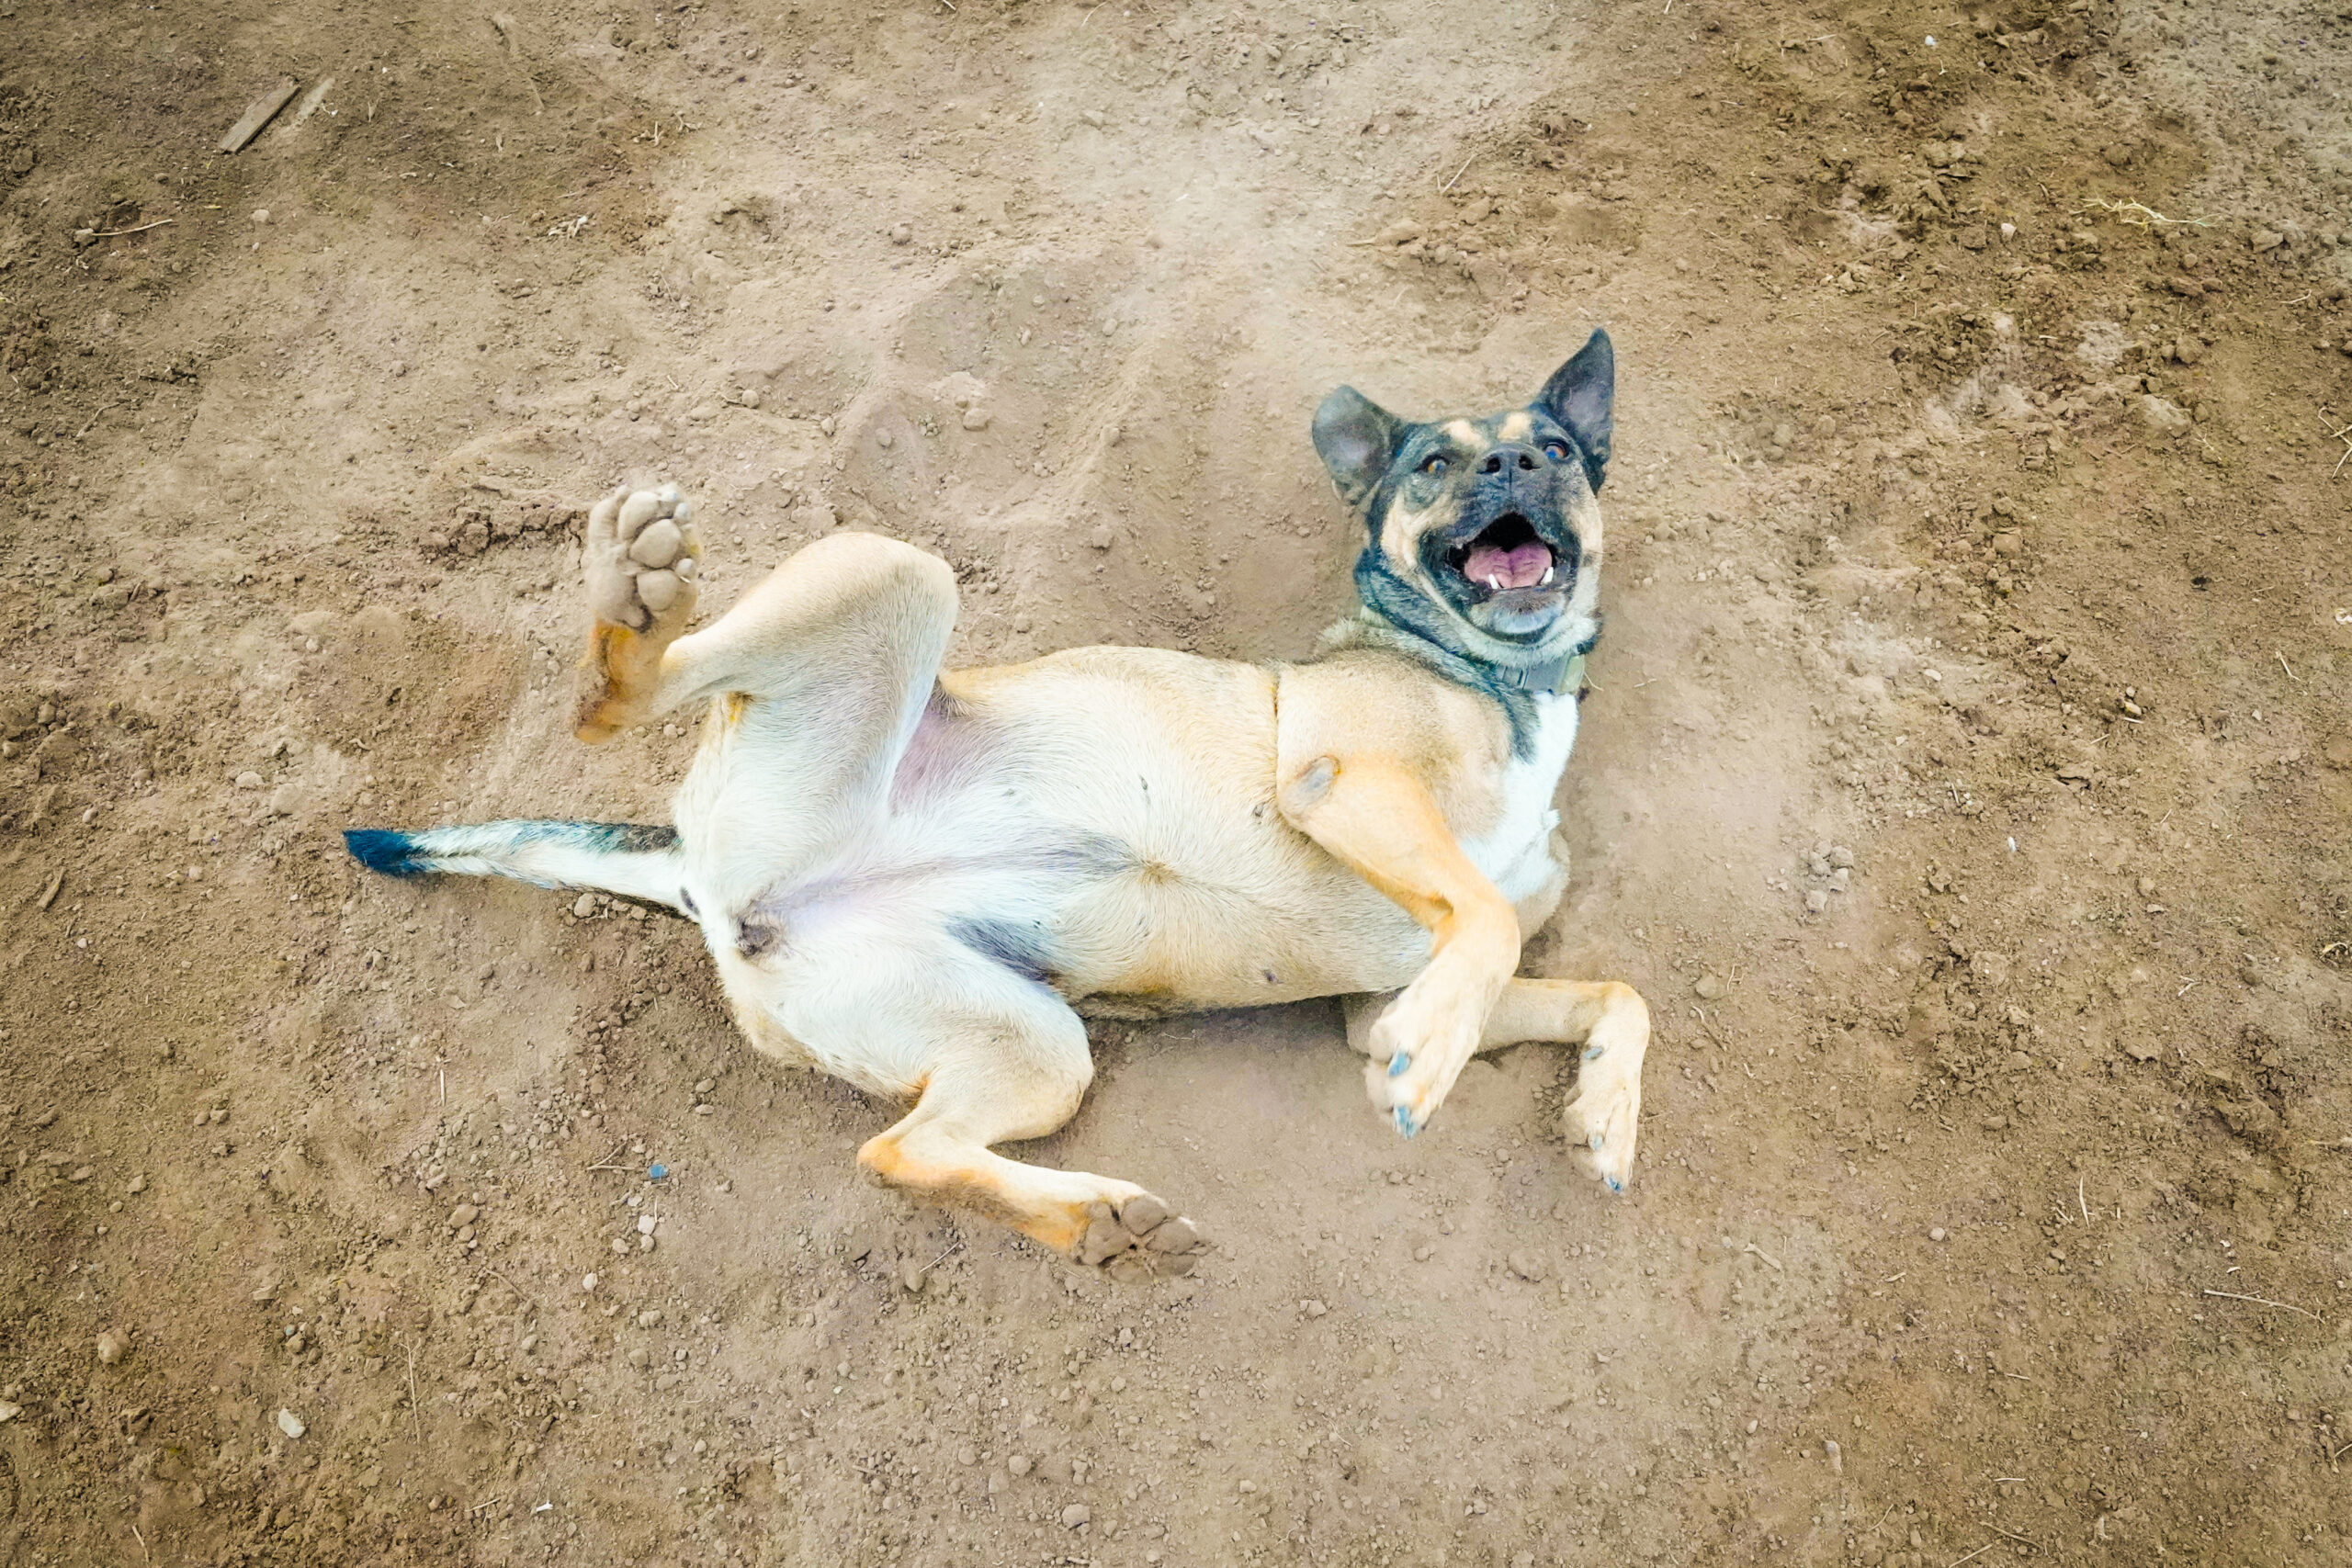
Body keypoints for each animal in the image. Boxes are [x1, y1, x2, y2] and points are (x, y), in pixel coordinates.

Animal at [343, 331, 1656, 1279]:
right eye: (1436, 464)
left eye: (1555, 449)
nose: (1513, 467)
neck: (1505, 683)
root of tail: (704, 884)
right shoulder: (1339, 778)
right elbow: (1484, 921)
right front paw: (1439, 1064)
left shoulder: (1371, 1007)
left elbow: (1605, 990)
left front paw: (1601, 1114)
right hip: (895, 569)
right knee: (620, 697)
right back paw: (633, 598)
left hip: (1030, 1045)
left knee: (897, 1152)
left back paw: (1102, 1228)